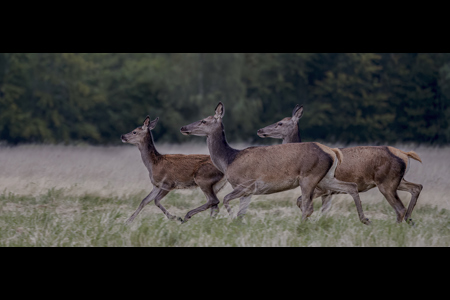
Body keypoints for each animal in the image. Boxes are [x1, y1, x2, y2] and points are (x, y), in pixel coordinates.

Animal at [180, 102, 372, 224]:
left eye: (204, 120)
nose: (183, 127)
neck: (229, 160)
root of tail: (332, 152)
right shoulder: (248, 191)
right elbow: (241, 212)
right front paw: (237, 223)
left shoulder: (246, 183)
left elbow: (226, 199)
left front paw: (230, 218)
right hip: (326, 178)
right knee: (350, 187)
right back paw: (365, 219)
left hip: (309, 177)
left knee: (307, 206)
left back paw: (300, 226)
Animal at [256, 104, 422, 224]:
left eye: (280, 123)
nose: (260, 130)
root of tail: (405, 154)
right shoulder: (328, 192)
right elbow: (321, 209)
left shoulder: (321, 188)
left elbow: (301, 202)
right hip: (397, 180)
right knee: (416, 187)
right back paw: (410, 220)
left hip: (386, 182)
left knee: (399, 207)